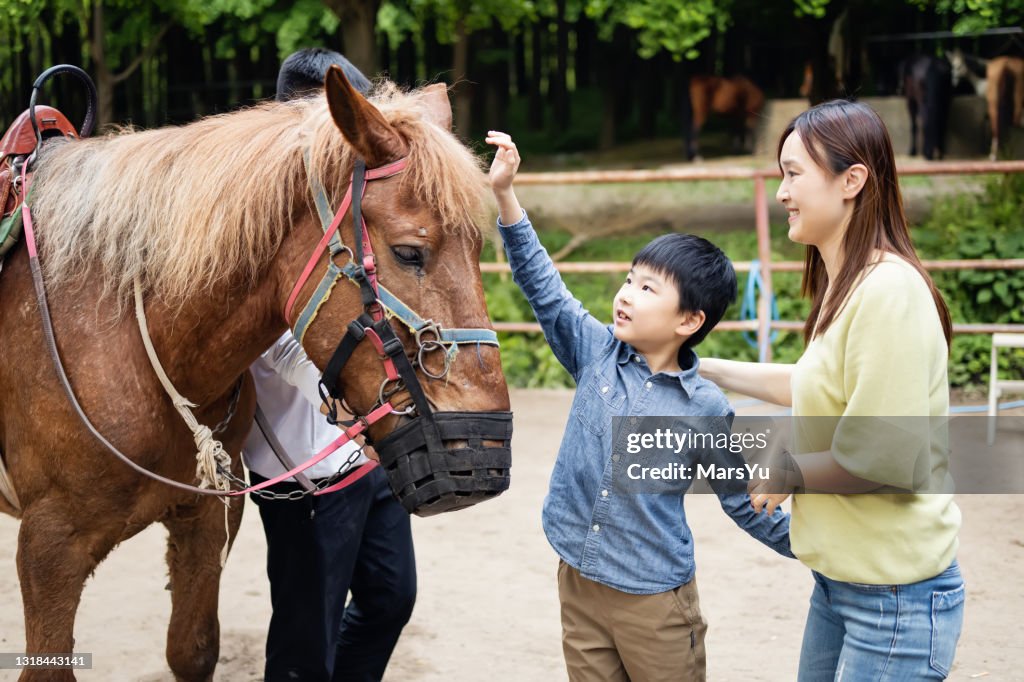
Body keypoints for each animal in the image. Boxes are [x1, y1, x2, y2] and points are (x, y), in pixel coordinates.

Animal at [0, 66, 511, 681]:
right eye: (410, 252)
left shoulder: (208, 517)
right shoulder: (50, 548)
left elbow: (192, 650)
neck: (118, 330)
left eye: (480, 247)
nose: (484, 447)